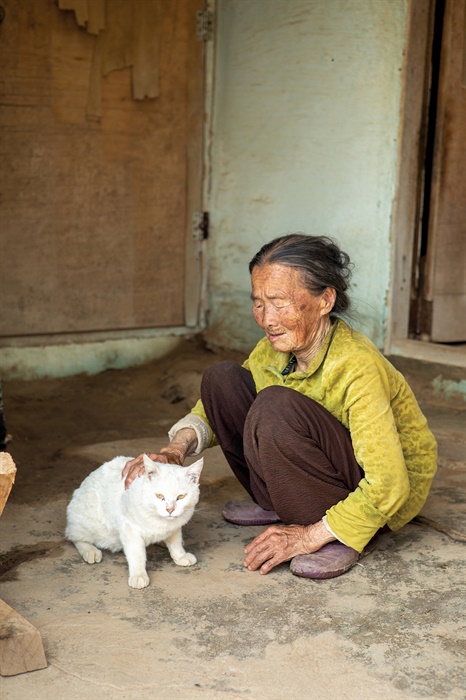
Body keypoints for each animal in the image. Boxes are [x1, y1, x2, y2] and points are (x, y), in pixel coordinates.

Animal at [65, 456, 202, 588]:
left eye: (181, 497)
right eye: (159, 496)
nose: (170, 509)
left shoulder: (175, 526)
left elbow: (175, 542)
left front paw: (180, 555)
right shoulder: (130, 529)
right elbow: (137, 555)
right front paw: (138, 575)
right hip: (87, 521)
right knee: (74, 536)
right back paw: (90, 551)